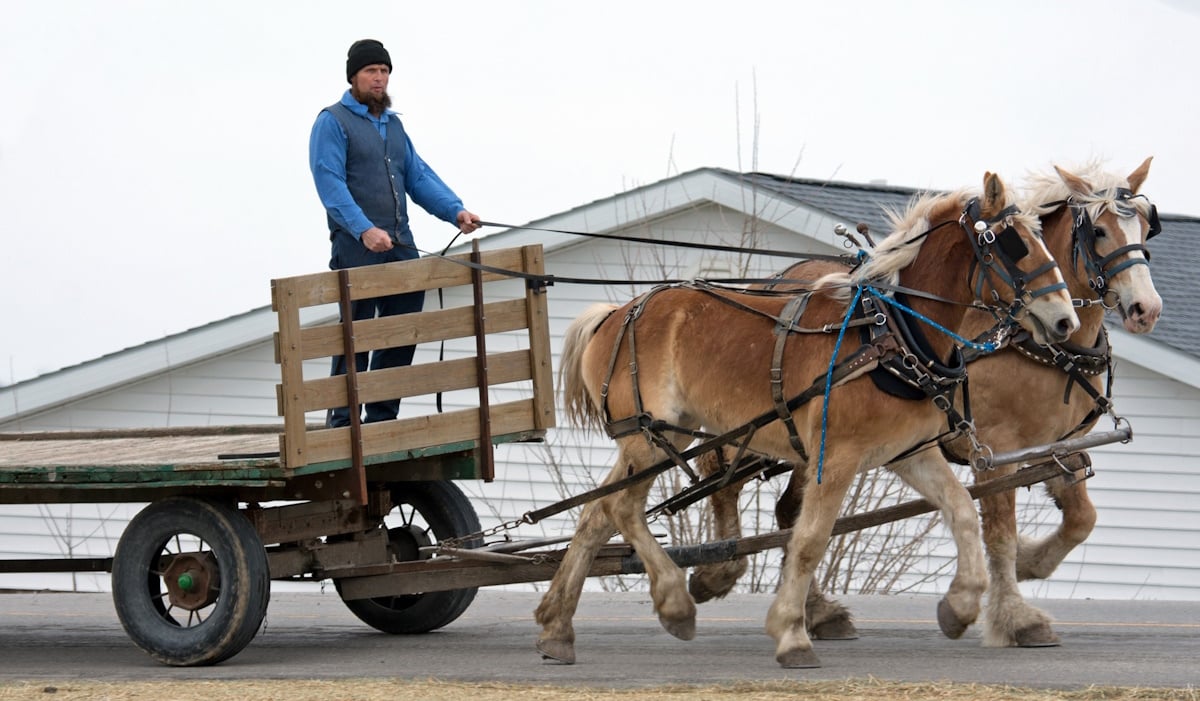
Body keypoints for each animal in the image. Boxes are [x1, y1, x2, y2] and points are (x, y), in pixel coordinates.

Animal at [536, 172, 1080, 668]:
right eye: (1011, 244)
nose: (1065, 321)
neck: (887, 334)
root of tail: (615, 312)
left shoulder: (909, 453)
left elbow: (962, 510)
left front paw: (960, 605)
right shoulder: (835, 458)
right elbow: (810, 540)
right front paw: (792, 635)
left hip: (649, 439)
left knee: (595, 514)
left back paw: (557, 626)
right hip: (652, 435)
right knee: (621, 508)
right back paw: (674, 604)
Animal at [689, 158, 1162, 648]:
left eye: (1148, 227)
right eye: (1100, 231)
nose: (1146, 309)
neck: (1036, 345)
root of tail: (780, 278)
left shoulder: (1057, 447)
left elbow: (1082, 518)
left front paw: (1030, 563)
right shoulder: (996, 449)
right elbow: (1000, 534)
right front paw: (1014, 616)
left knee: (785, 509)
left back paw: (816, 612)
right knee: (723, 475)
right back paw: (721, 571)